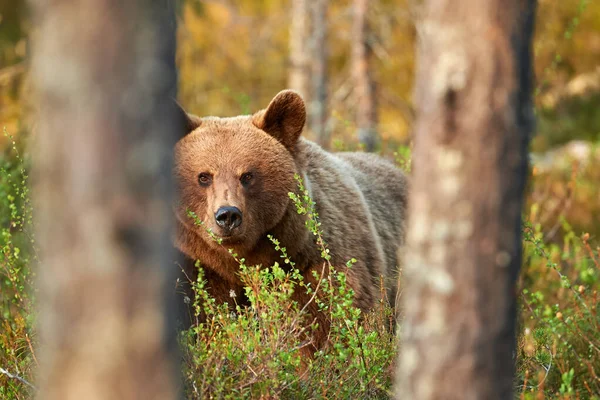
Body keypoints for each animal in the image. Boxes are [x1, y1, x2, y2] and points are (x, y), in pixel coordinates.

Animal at [172, 90, 408, 354]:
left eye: (248, 175)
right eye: (203, 176)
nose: (228, 215)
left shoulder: (320, 263)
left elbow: (336, 322)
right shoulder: (197, 270)